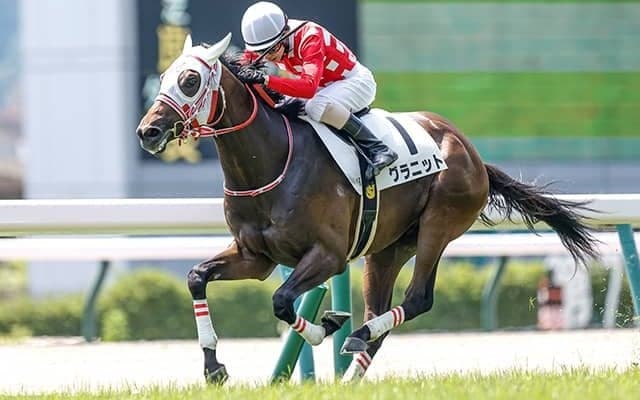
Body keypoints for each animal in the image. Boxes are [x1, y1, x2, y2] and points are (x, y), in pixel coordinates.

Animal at [136, 34, 598, 384]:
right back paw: (352, 368)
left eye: (191, 80)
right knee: (382, 312)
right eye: (164, 76)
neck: (271, 161)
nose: (148, 131)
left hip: (439, 224)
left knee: (417, 299)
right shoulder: (256, 257)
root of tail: (470, 151)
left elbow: (283, 301)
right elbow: (197, 278)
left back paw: (355, 333)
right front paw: (213, 366)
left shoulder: (327, 255)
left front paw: (325, 325)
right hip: (387, 248)